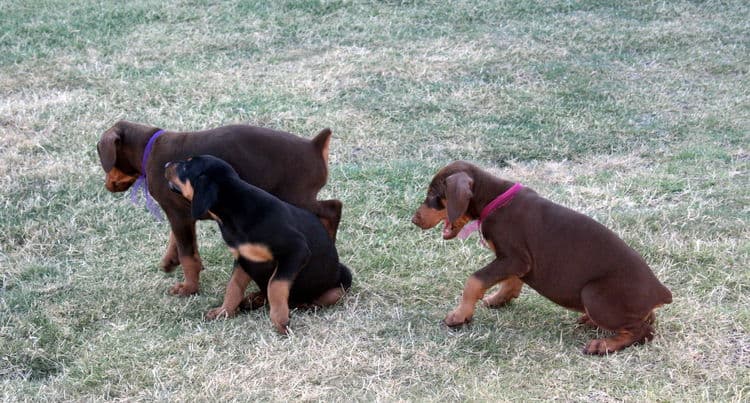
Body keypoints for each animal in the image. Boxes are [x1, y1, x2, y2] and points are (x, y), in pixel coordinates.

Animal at [97, 120, 344, 296]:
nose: (107, 185)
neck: (149, 148)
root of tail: (314, 145)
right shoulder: (182, 213)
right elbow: (178, 241)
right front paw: (169, 261)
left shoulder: (176, 212)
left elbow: (187, 254)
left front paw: (188, 288)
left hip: (296, 196)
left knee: (333, 208)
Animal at [165, 155, 352, 334]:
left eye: (186, 166)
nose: (166, 165)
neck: (235, 209)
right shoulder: (243, 258)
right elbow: (233, 287)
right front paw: (224, 311)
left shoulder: (296, 251)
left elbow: (275, 285)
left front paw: (280, 320)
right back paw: (253, 299)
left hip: (342, 277)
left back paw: (303, 303)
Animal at [412, 159, 676, 356]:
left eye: (433, 194)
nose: (413, 220)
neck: (494, 199)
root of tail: (661, 292)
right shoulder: (517, 262)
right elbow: (512, 281)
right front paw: (499, 299)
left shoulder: (515, 258)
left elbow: (474, 280)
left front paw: (459, 315)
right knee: (647, 320)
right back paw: (591, 322)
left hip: (594, 294)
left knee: (643, 331)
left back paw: (603, 345)